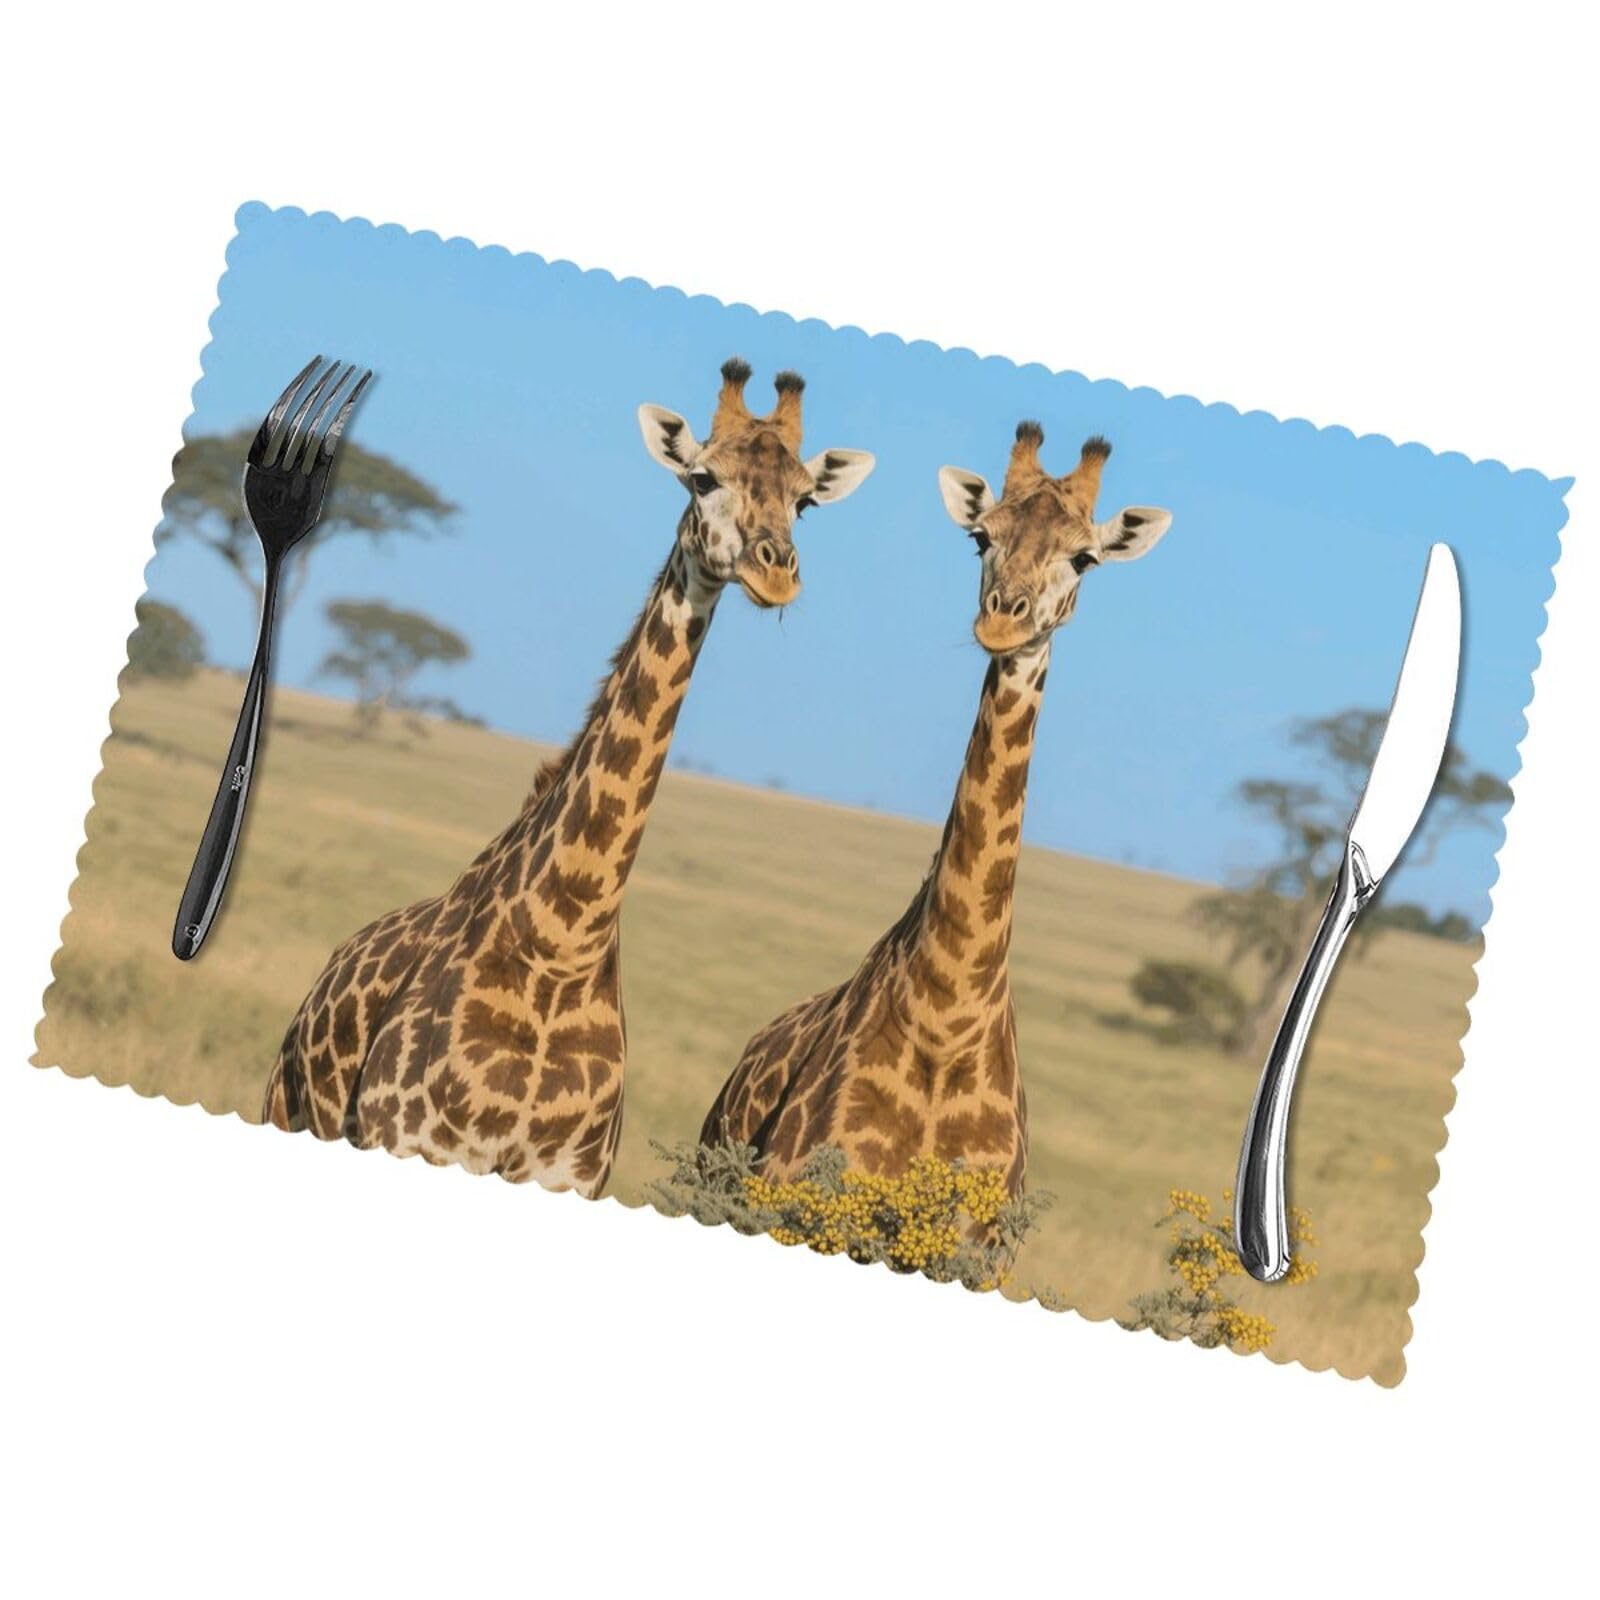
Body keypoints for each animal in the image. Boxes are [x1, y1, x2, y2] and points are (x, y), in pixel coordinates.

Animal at [261, 359, 875, 1196]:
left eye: (804, 500)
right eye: (703, 478)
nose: (775, 572)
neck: (561, 945)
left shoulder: (573, 1176)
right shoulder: (405, 1138)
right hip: (284, 1105)